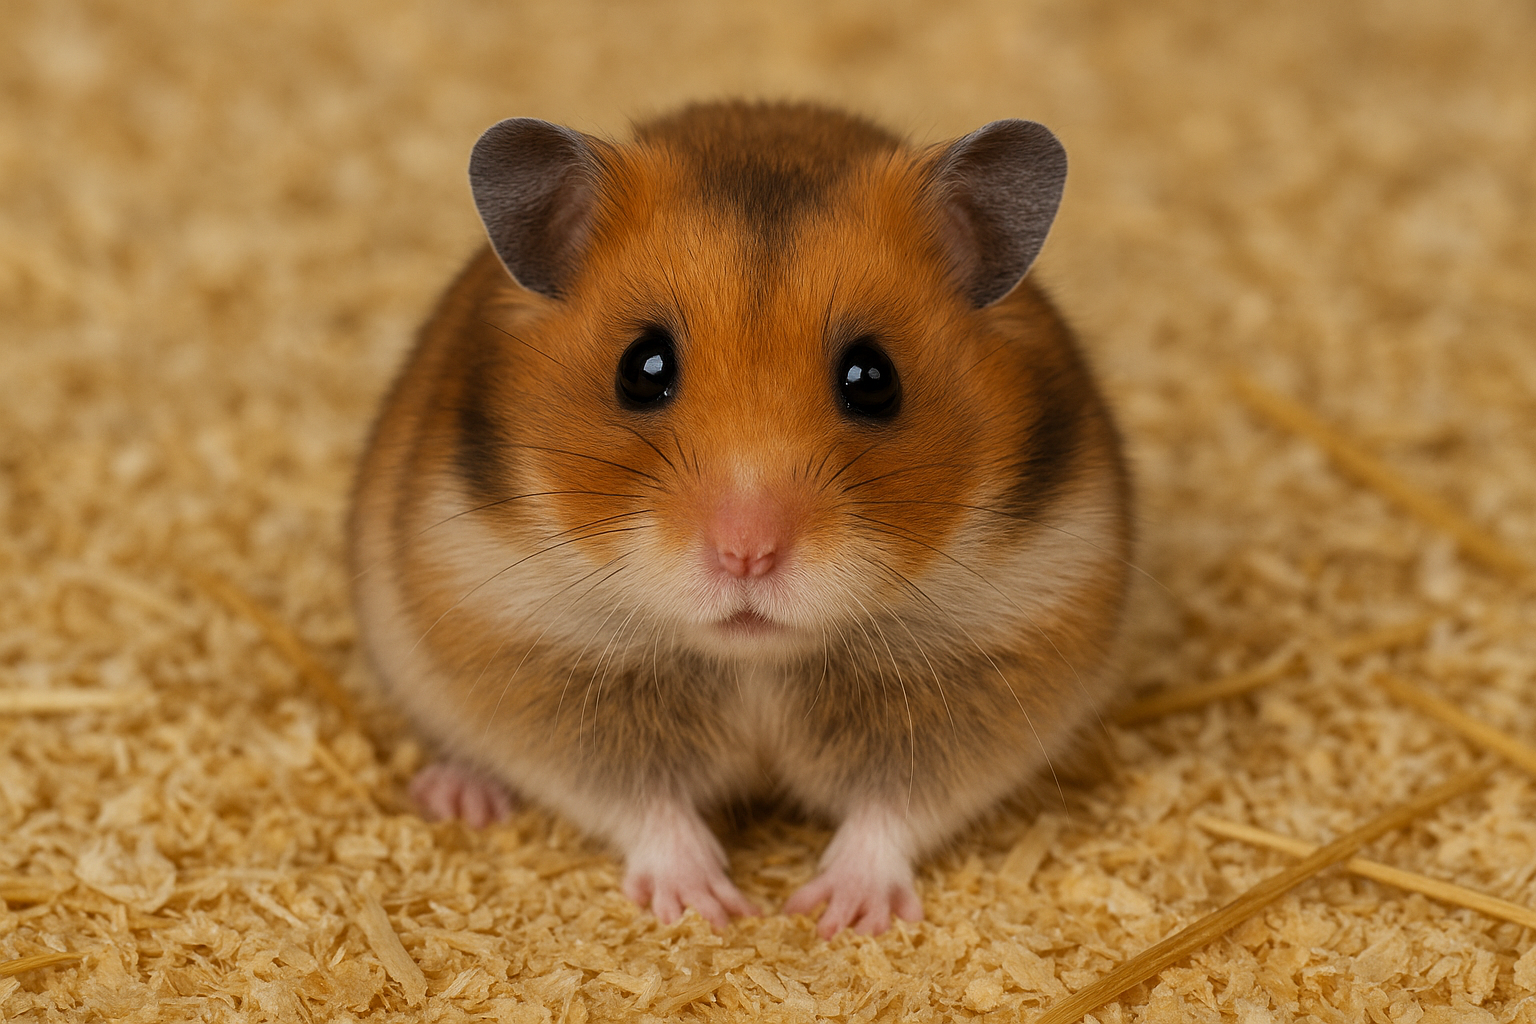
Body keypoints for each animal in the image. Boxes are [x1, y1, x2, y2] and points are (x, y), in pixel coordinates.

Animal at [349, 101, 1130, 937]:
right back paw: (460, 796)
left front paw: (838, 915)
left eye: (873, 378)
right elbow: (645, 802)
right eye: (642, 368)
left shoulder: (997, 659)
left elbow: (891, 809)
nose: (747, 554)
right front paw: (709, 907)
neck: (756, 661)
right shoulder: (532, 658)